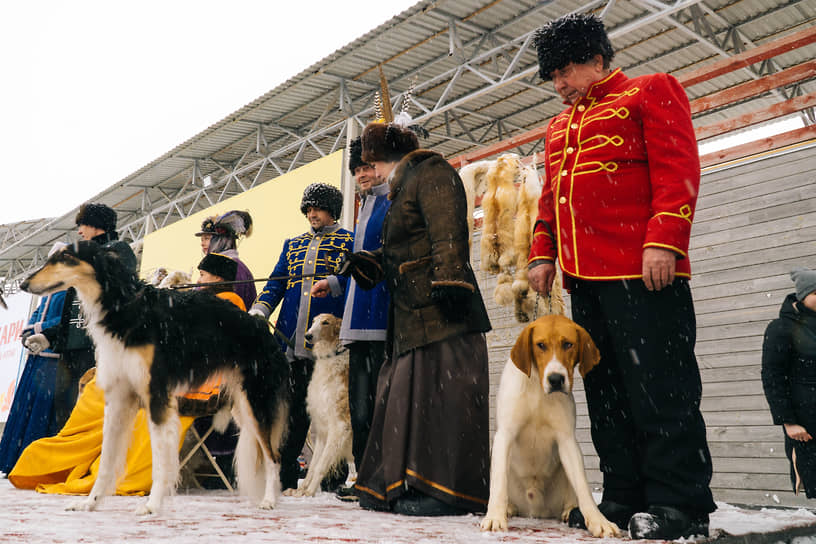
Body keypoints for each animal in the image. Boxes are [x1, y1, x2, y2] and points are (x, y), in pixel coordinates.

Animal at [19, 242, 290, 516]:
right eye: (52, 257)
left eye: (65, 256)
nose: (23, 284)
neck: (126, 309)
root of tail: (262, 327)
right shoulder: (118, 397)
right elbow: (106, 460)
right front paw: (90, 502)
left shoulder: (156, 394)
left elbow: (160, 459)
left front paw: (152, 505)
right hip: (242, 407)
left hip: (256, 403)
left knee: (274, 457)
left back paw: (269, 500)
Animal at [284, 314, 354, 498]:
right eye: (314, 321)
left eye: (326, 322)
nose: (307, 336)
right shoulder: (322, 430)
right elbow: (313, 467)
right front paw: (300, 490)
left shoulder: (339, 427)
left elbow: (321, 466)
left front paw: (309, 492)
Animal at [478, 312, 620, 536]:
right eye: (541, 345)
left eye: (568, 344)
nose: (555, 379)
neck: (538, 390)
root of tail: (535, 511)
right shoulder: (504, 435)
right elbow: (499, 484)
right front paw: (494, 518)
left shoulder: (567, 439)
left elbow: (583, 486)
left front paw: (599, 521)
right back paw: (508, 509)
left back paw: (570, 510)